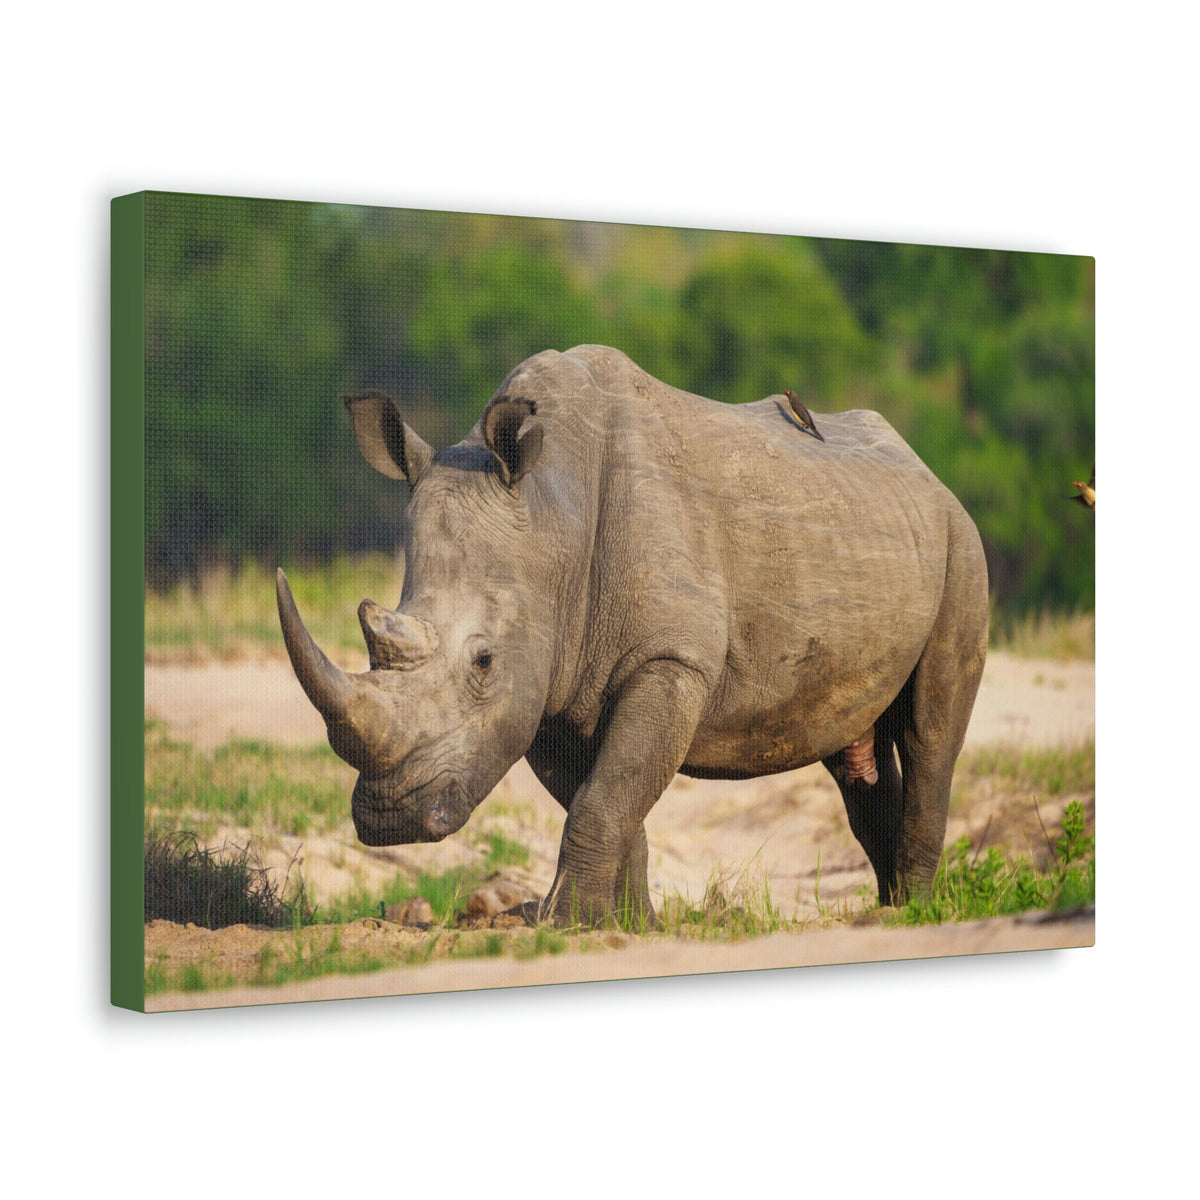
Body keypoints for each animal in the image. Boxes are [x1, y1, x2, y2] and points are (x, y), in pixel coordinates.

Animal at [277, 344, 988, 926]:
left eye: (483, 661)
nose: (389, 819)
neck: (552, 513)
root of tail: (924, 468)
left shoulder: (668, 660)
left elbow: (605, 797)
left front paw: (566, 924)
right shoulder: (548, 684)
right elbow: (608, 800)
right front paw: (625, 925)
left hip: (961, 542)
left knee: (930, 732)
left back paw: (915, 914)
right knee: (853, 754)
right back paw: (888, 909)